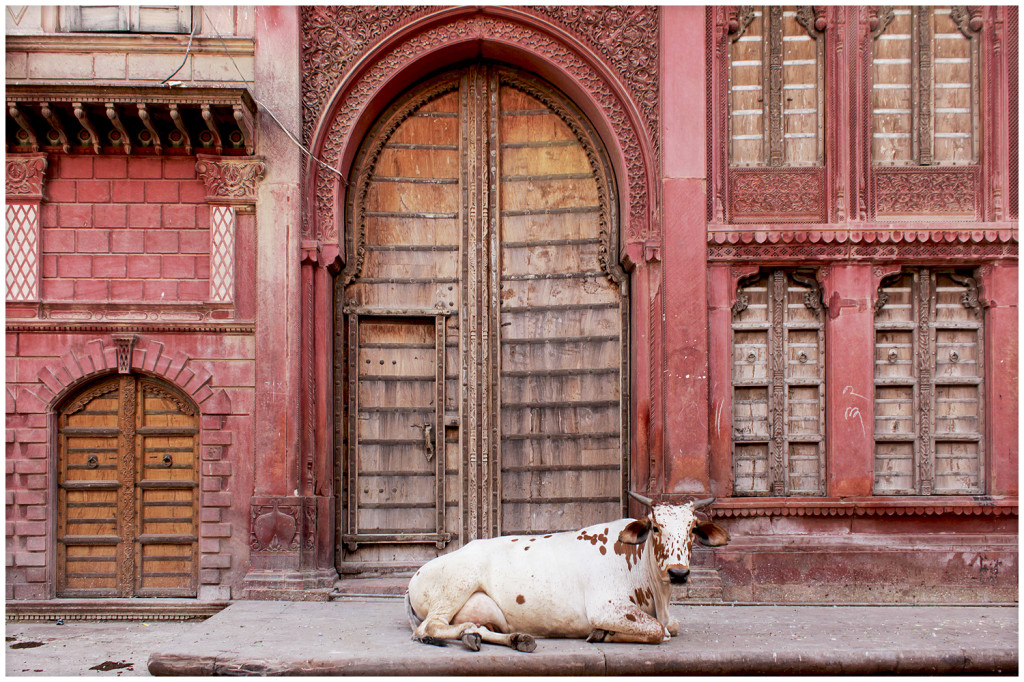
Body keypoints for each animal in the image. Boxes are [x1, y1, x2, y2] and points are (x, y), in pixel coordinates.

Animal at [403, 491, 733, 651]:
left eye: (692, 529)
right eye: (655, 527)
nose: (678, 573)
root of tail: (413, 580)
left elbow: (670, 627)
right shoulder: (607, 608)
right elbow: (659, 631)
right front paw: (603, 635)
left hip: (490, 612)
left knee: (477, 627)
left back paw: (505, 639)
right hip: (455, 586)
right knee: (429, 628)